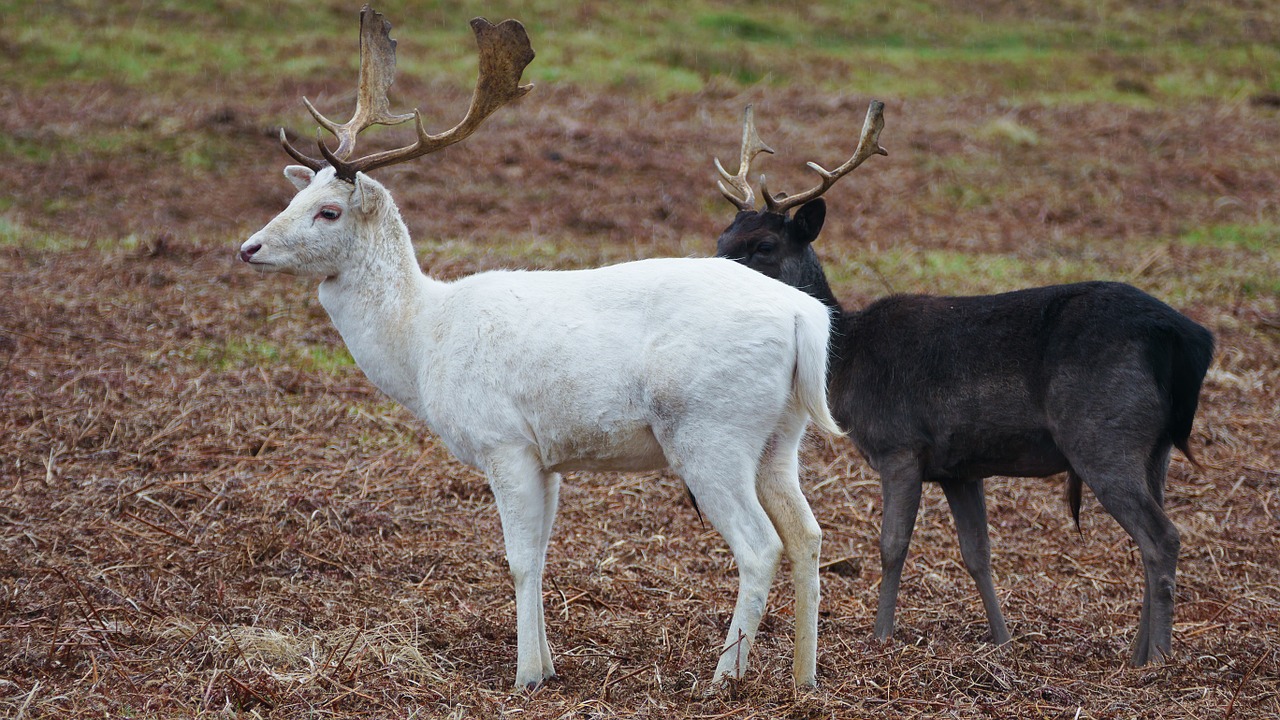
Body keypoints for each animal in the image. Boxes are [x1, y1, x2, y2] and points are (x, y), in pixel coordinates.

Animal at [239, 7, 839, 691]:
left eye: (329, 212)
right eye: (293, 197)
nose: (249, 247)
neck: (422, 341)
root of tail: (805, 316)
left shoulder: (504, 441)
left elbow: (520, 559)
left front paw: (526, 675)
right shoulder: (549, 457)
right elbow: (545, 554)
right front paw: (548, 663)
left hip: (711, 431)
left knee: (761, 544)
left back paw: (724, 676)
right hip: (781, 436)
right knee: (809, 533)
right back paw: (804, 677)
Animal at [716, 101, 1213, 661]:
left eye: (764, 244)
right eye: (722, 236)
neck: (846, 361)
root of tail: (1188, 338)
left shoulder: (900, 444)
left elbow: (892, 546)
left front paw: (881, 636)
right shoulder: (960, 467)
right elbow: (977, 553)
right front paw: (1002, 640)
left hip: (1103, 432)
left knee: (1162, 536)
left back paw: (1159, 661)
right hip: (1155, 446)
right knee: (1153, 534)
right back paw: (1136, 655)